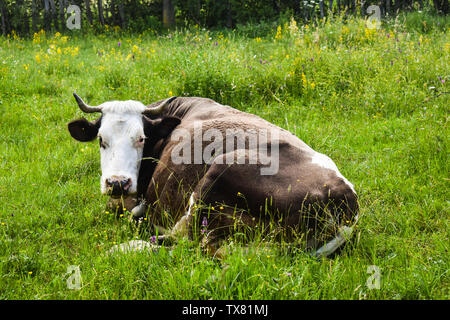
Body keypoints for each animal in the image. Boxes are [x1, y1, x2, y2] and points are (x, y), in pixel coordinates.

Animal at [68, 93, 358, 258]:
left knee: (185, 246)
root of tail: (345, 199)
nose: (117, 183)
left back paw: (121, 249)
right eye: (101, 140)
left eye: (141, 138)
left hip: (216, 178)